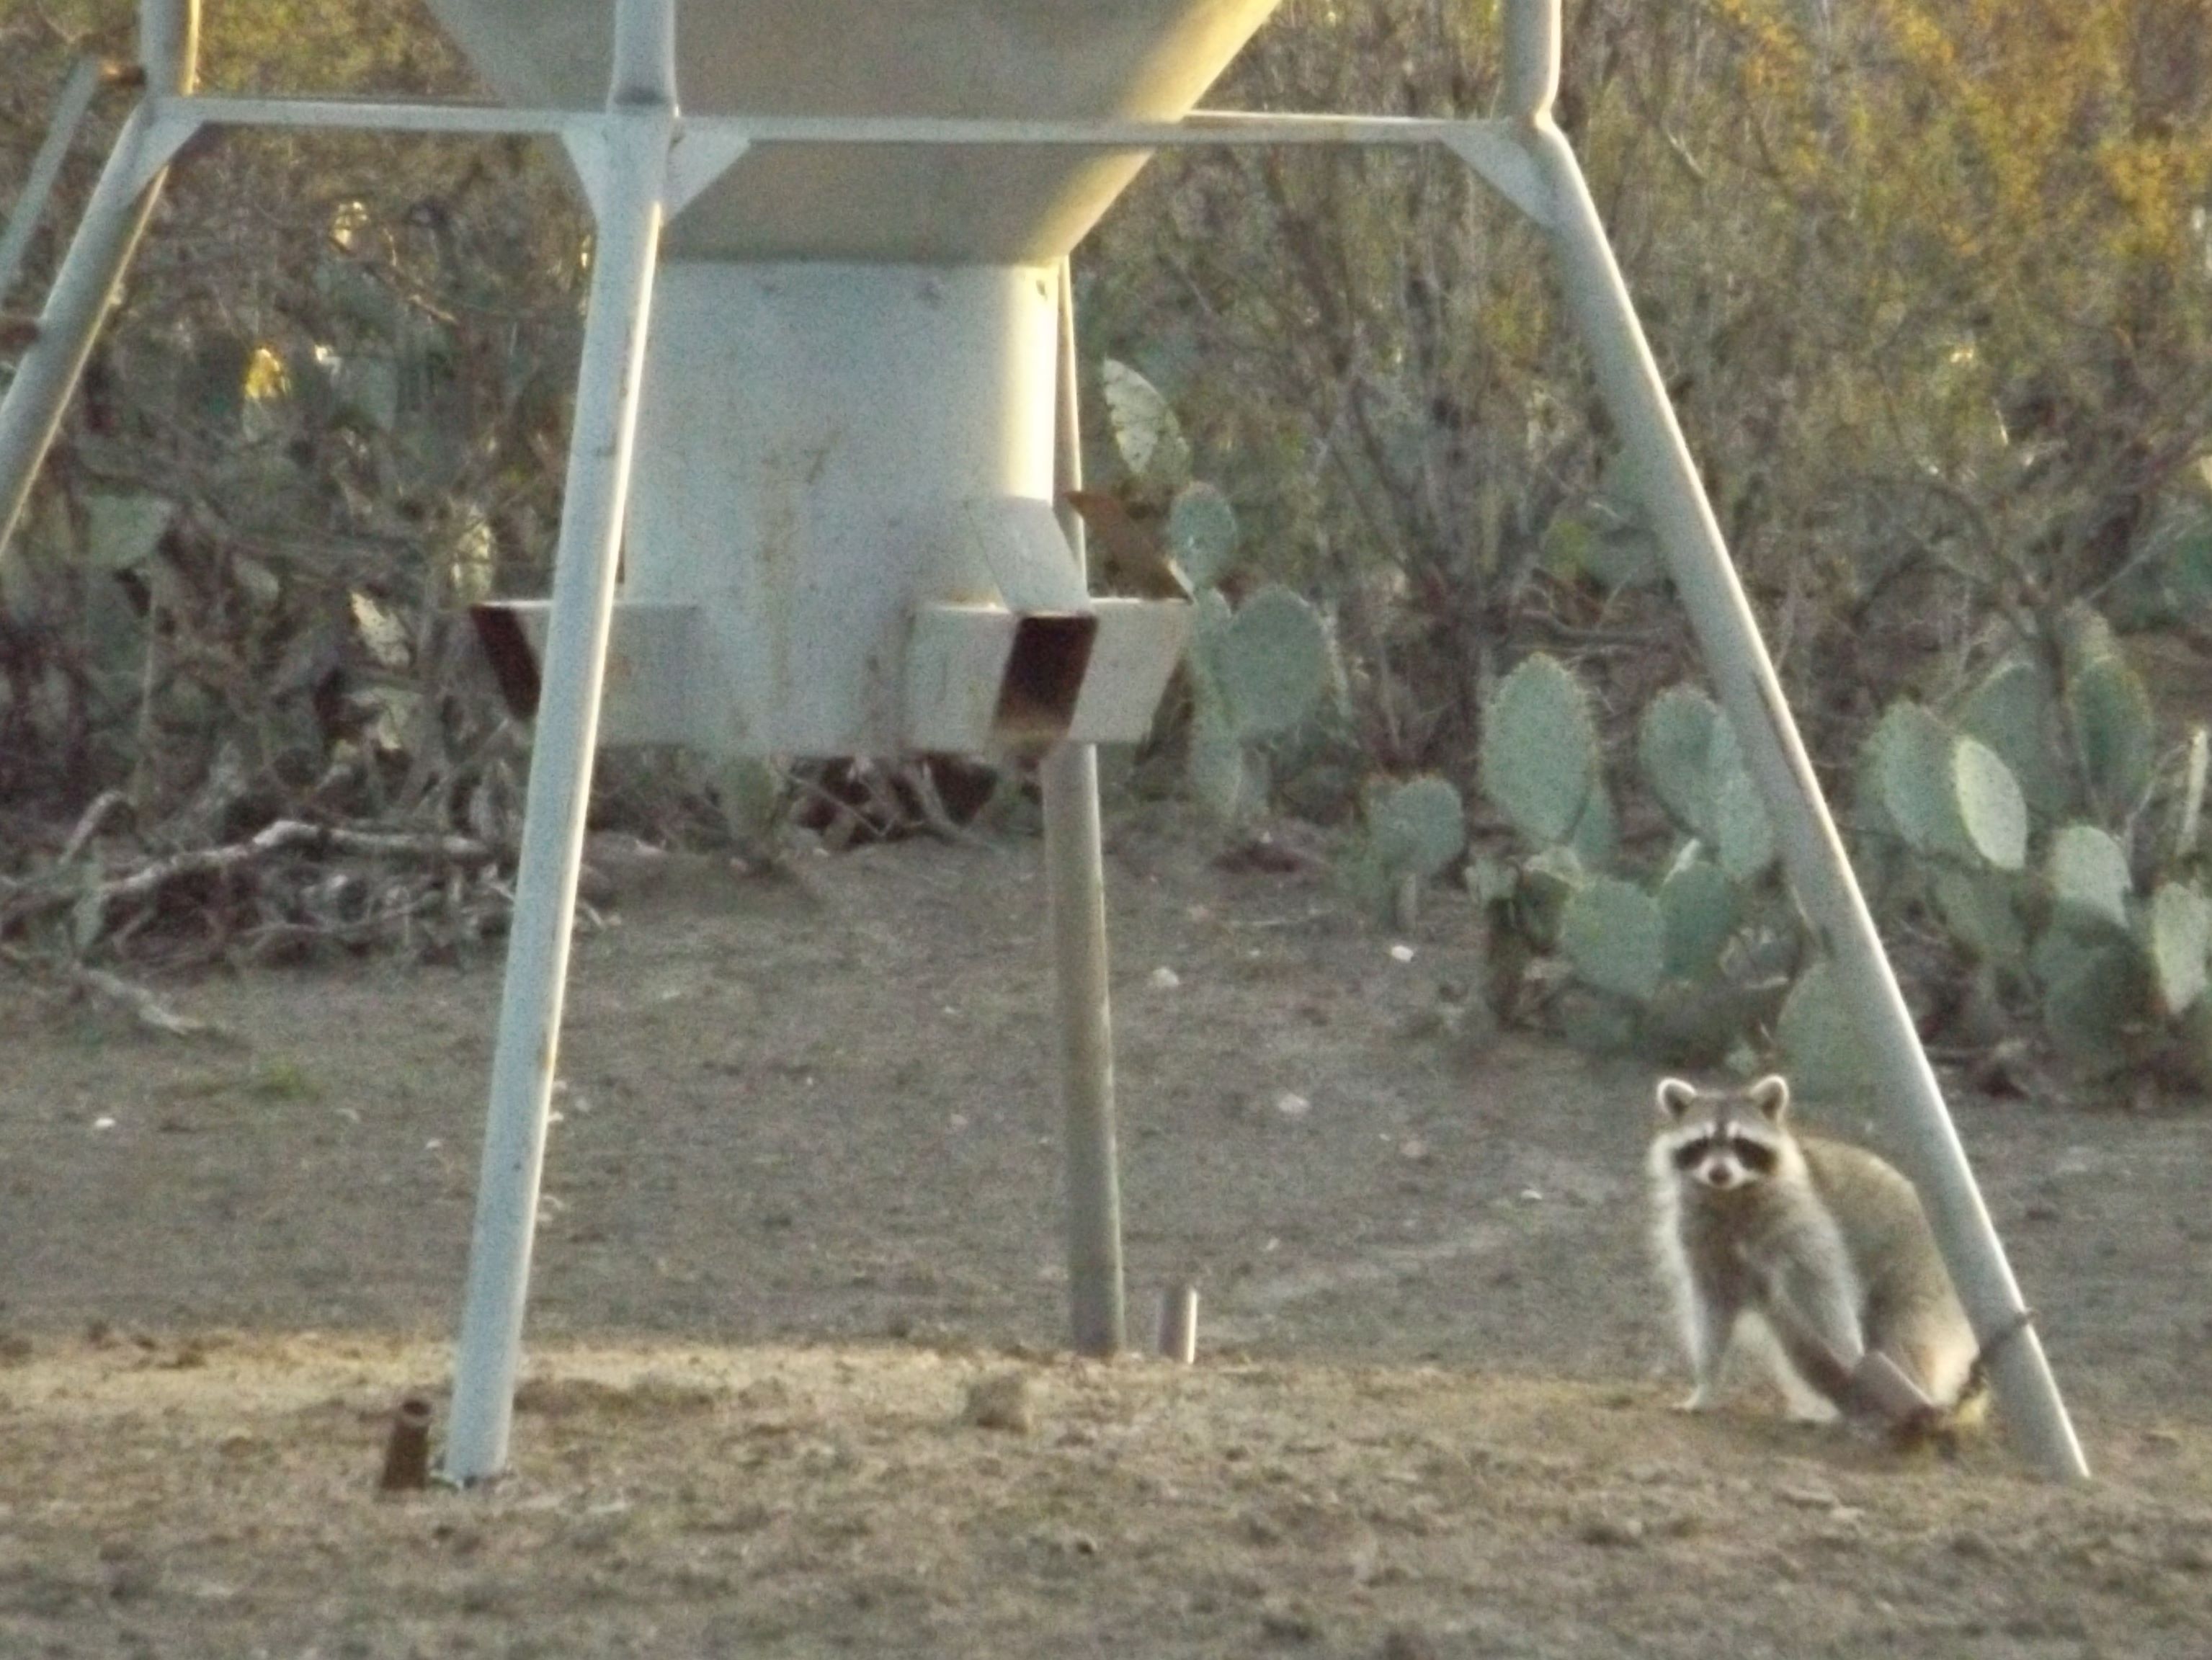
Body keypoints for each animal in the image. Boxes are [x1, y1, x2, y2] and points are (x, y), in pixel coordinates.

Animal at [1649, 1074, 1981, 1425]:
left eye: (1742, 1144)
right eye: (1701, 1143)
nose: (1719, 1173)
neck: (1729, 1195)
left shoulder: (1806, 1221)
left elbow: (1825, 1288)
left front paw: (1851, 1353)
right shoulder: (1703, 1243)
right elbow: (1711, 1312)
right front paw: (1706, 1385)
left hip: (1920, 1274)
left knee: (1904, 1337)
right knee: (1803, 1351)